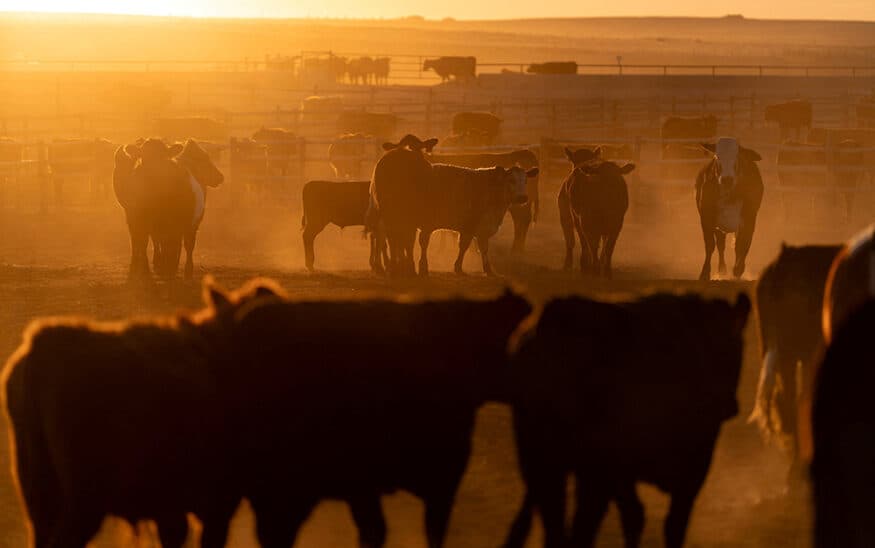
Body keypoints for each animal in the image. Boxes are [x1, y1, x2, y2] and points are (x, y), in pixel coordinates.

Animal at [504, 292, 750, 548]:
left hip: (544, 463)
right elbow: (659, 522)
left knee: (560, 528)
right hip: (582, 469)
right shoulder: (689, 469)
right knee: (580, 527)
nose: (728, 406)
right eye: (732, 351)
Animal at [696, 138, 764, 280]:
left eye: (737, 157)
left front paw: (738, 270)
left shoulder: (749, 219)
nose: (727, 179)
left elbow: (743, 243)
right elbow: (710, 245)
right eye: (717, 157)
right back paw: (722, 270)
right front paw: (705, 273)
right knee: (721, 245)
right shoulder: (706, 217)